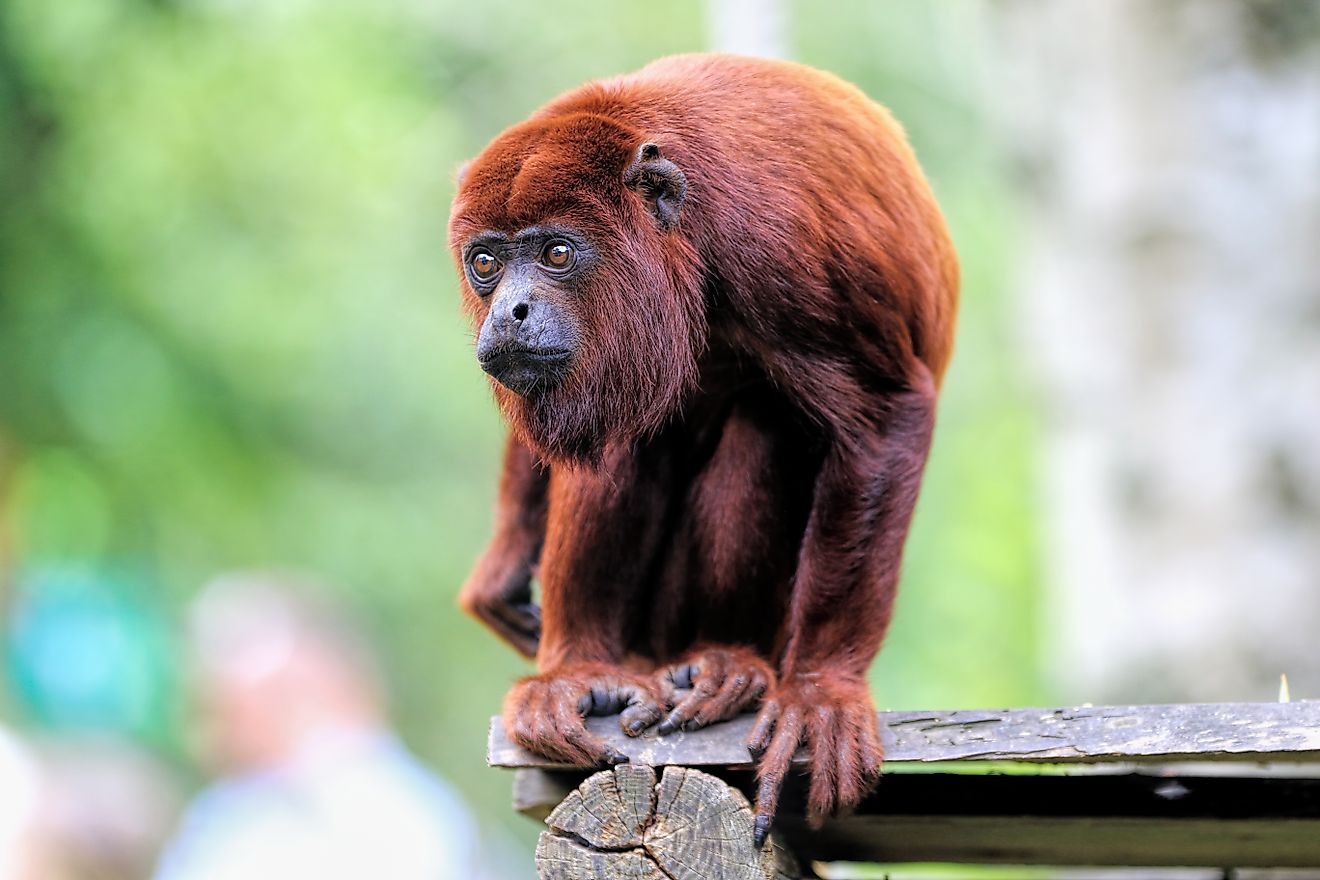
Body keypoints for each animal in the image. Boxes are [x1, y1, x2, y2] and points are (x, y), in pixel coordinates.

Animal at [448, 51, 955, 844]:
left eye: (558, 252)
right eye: (486, 262)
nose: (509, 312)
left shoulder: (781, 246)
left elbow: (886, 412)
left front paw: (824, 692)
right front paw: (502, 565)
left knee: (766, 416)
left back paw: (725, 664)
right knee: (622, 429)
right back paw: (581, 672)